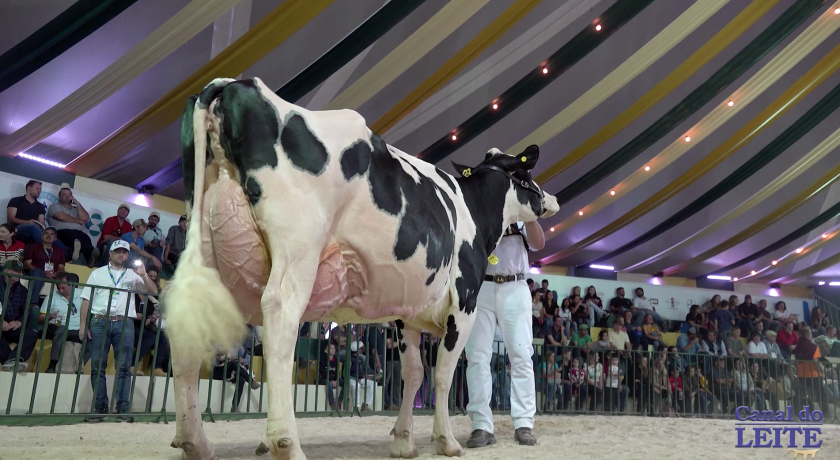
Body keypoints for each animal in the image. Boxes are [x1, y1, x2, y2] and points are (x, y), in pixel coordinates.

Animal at [163, 77, 556, 458]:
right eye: (528, 174)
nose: (551, 199)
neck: (474, 210)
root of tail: (232, 84)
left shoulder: (406, 314)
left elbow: (414, 374)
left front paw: (403, 441)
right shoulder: (464, 302)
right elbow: (443, 374)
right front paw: (446, 441)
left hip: (202, 246)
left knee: (185, 325)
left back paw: (194, 442)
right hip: (298, 248)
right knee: (280, 320)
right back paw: (285, 443)